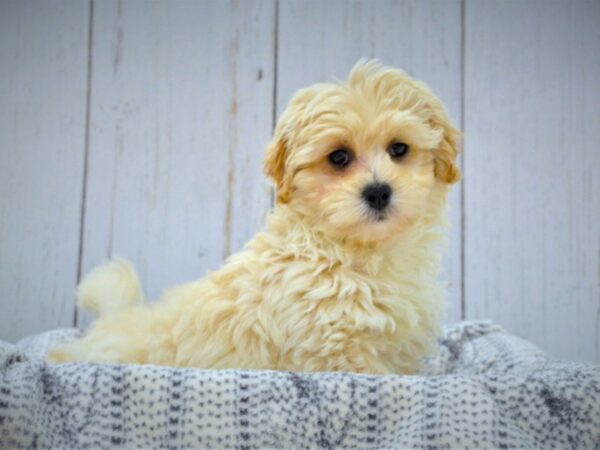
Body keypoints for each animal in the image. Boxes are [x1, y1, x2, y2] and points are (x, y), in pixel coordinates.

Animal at [50, 60, 460, 376]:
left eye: (399, 149)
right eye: (339, 157)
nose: (378, 192)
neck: (359, 251)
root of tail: (115, 321)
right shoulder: (339, 351)